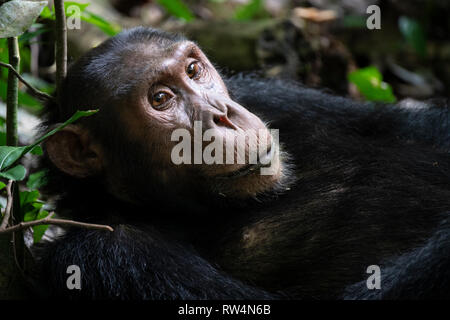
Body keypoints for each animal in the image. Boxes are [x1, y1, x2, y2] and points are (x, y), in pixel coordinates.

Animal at [37, 27, 450, 300]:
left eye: (193, 71)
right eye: (161, 99)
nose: (224, 114)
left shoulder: (265, 94)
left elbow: (403, 126)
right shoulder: (110, 255)